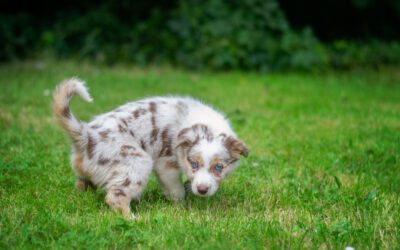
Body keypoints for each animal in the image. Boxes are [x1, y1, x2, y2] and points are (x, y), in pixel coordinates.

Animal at [53, 77, 247, 219]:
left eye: (219, 167)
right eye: (193, 164)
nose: (202, 190)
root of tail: (86, 134)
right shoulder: (166, 164)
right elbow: (175, 190)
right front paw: (182, 208)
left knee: (82, 185)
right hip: (138, 162)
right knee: (116, 196)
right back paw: (133, 218)